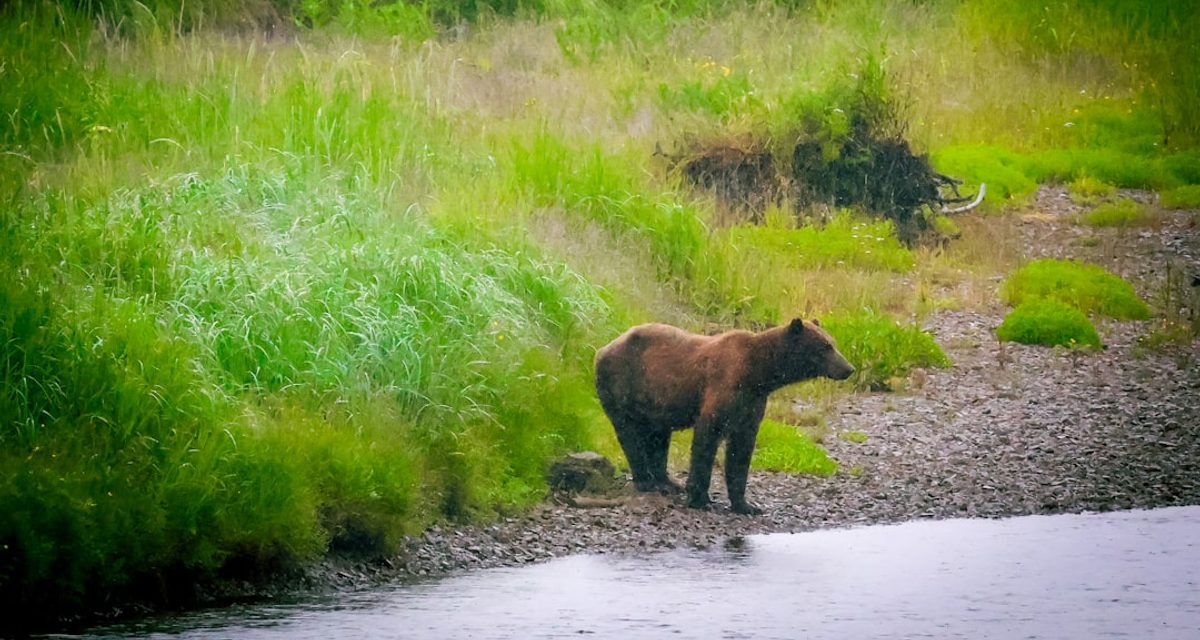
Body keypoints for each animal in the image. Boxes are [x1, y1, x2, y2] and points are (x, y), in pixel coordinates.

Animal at [594, 318, 854, 515]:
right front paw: (700, 498)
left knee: (658, 438)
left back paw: (667, 482)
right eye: (825, 346)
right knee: (629, 434)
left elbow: (741, 450)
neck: (760, 373)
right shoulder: (723, 386)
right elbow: (706, 439)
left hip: (656, 401)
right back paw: (646, 480)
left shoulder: (750, 405)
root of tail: (602, 348)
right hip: (622, 383)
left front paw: (746, 505)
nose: (849, 368)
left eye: (832, 343)